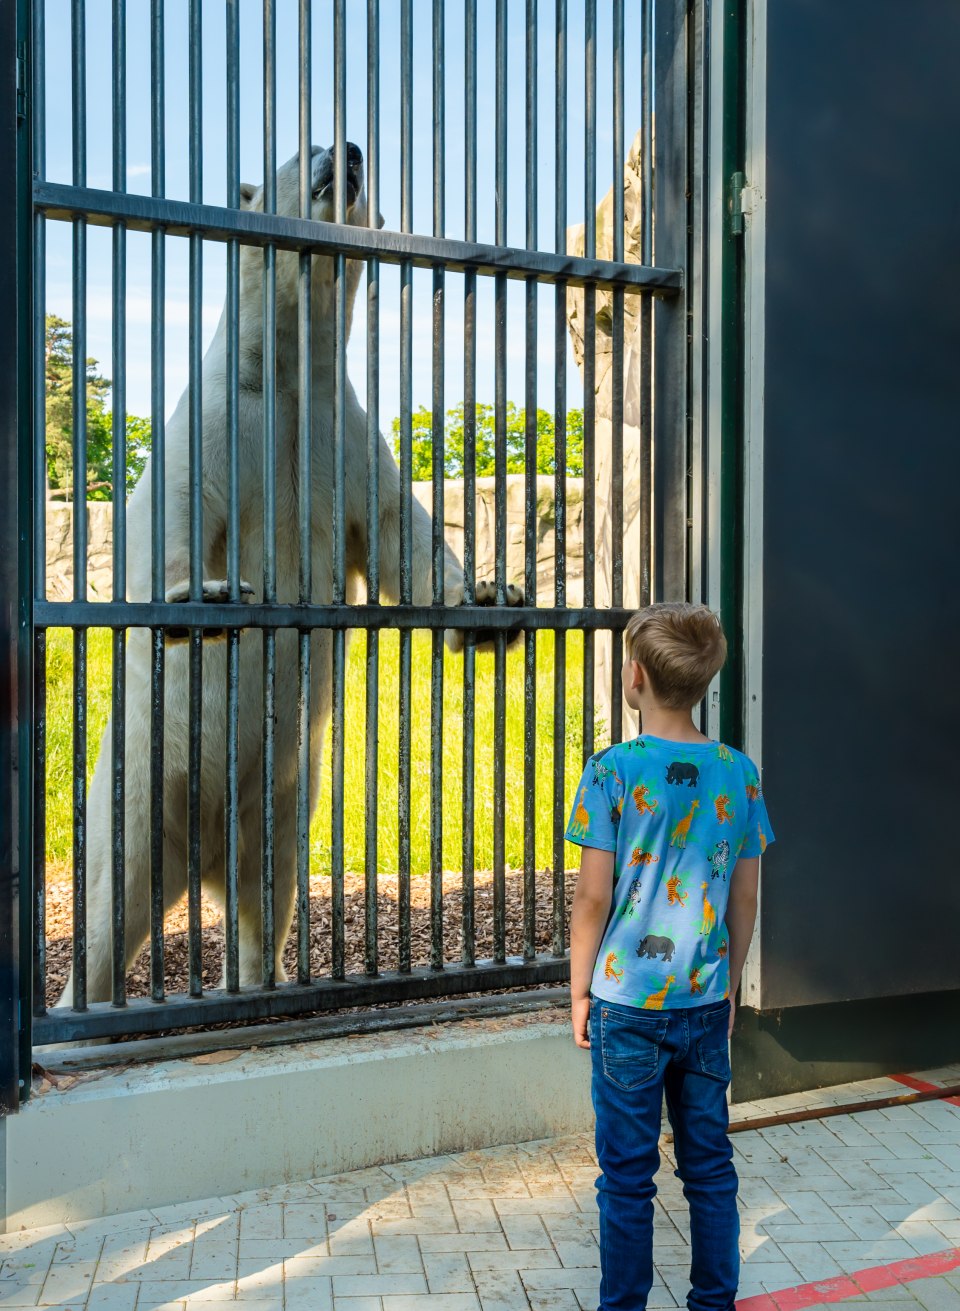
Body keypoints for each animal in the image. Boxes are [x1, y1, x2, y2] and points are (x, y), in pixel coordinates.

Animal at [60, 146, 516, 1001]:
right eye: (302, 152)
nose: (349, 153)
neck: (284, 376)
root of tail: (201, 856)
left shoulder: (344, 435)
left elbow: (403, 536)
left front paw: (487, 599)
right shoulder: (216, 424)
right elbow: (166, 516)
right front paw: (203, 595)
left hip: (282, 806)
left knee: (264, 901)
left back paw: (260, 978)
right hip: (138, 794)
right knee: (108, 912)